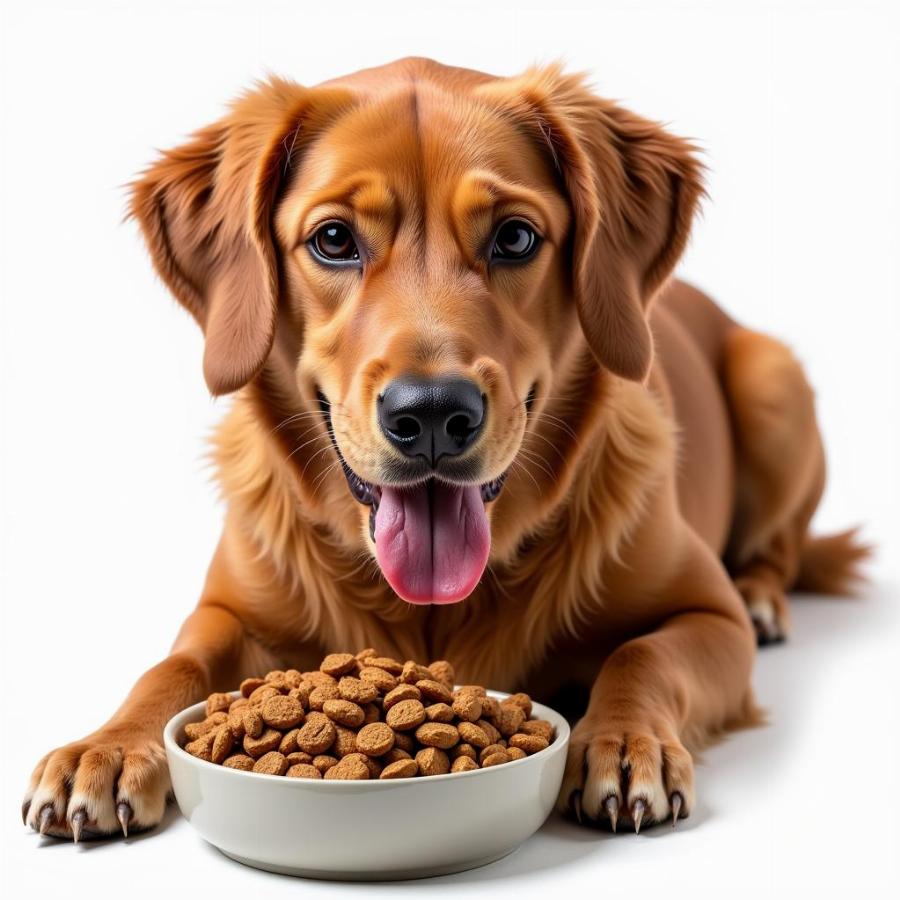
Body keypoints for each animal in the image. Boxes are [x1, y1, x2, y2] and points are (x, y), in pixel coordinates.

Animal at [21, 59, 864, 840]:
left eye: (515, 236)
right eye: (333, 240)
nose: (430, 414)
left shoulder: (705, 614)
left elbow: (642, 656)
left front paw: (626, 742)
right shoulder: (227, 611)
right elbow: (173, 665)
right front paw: (107, 746)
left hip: (772, 381)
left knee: (777, 549)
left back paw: (763, 596)